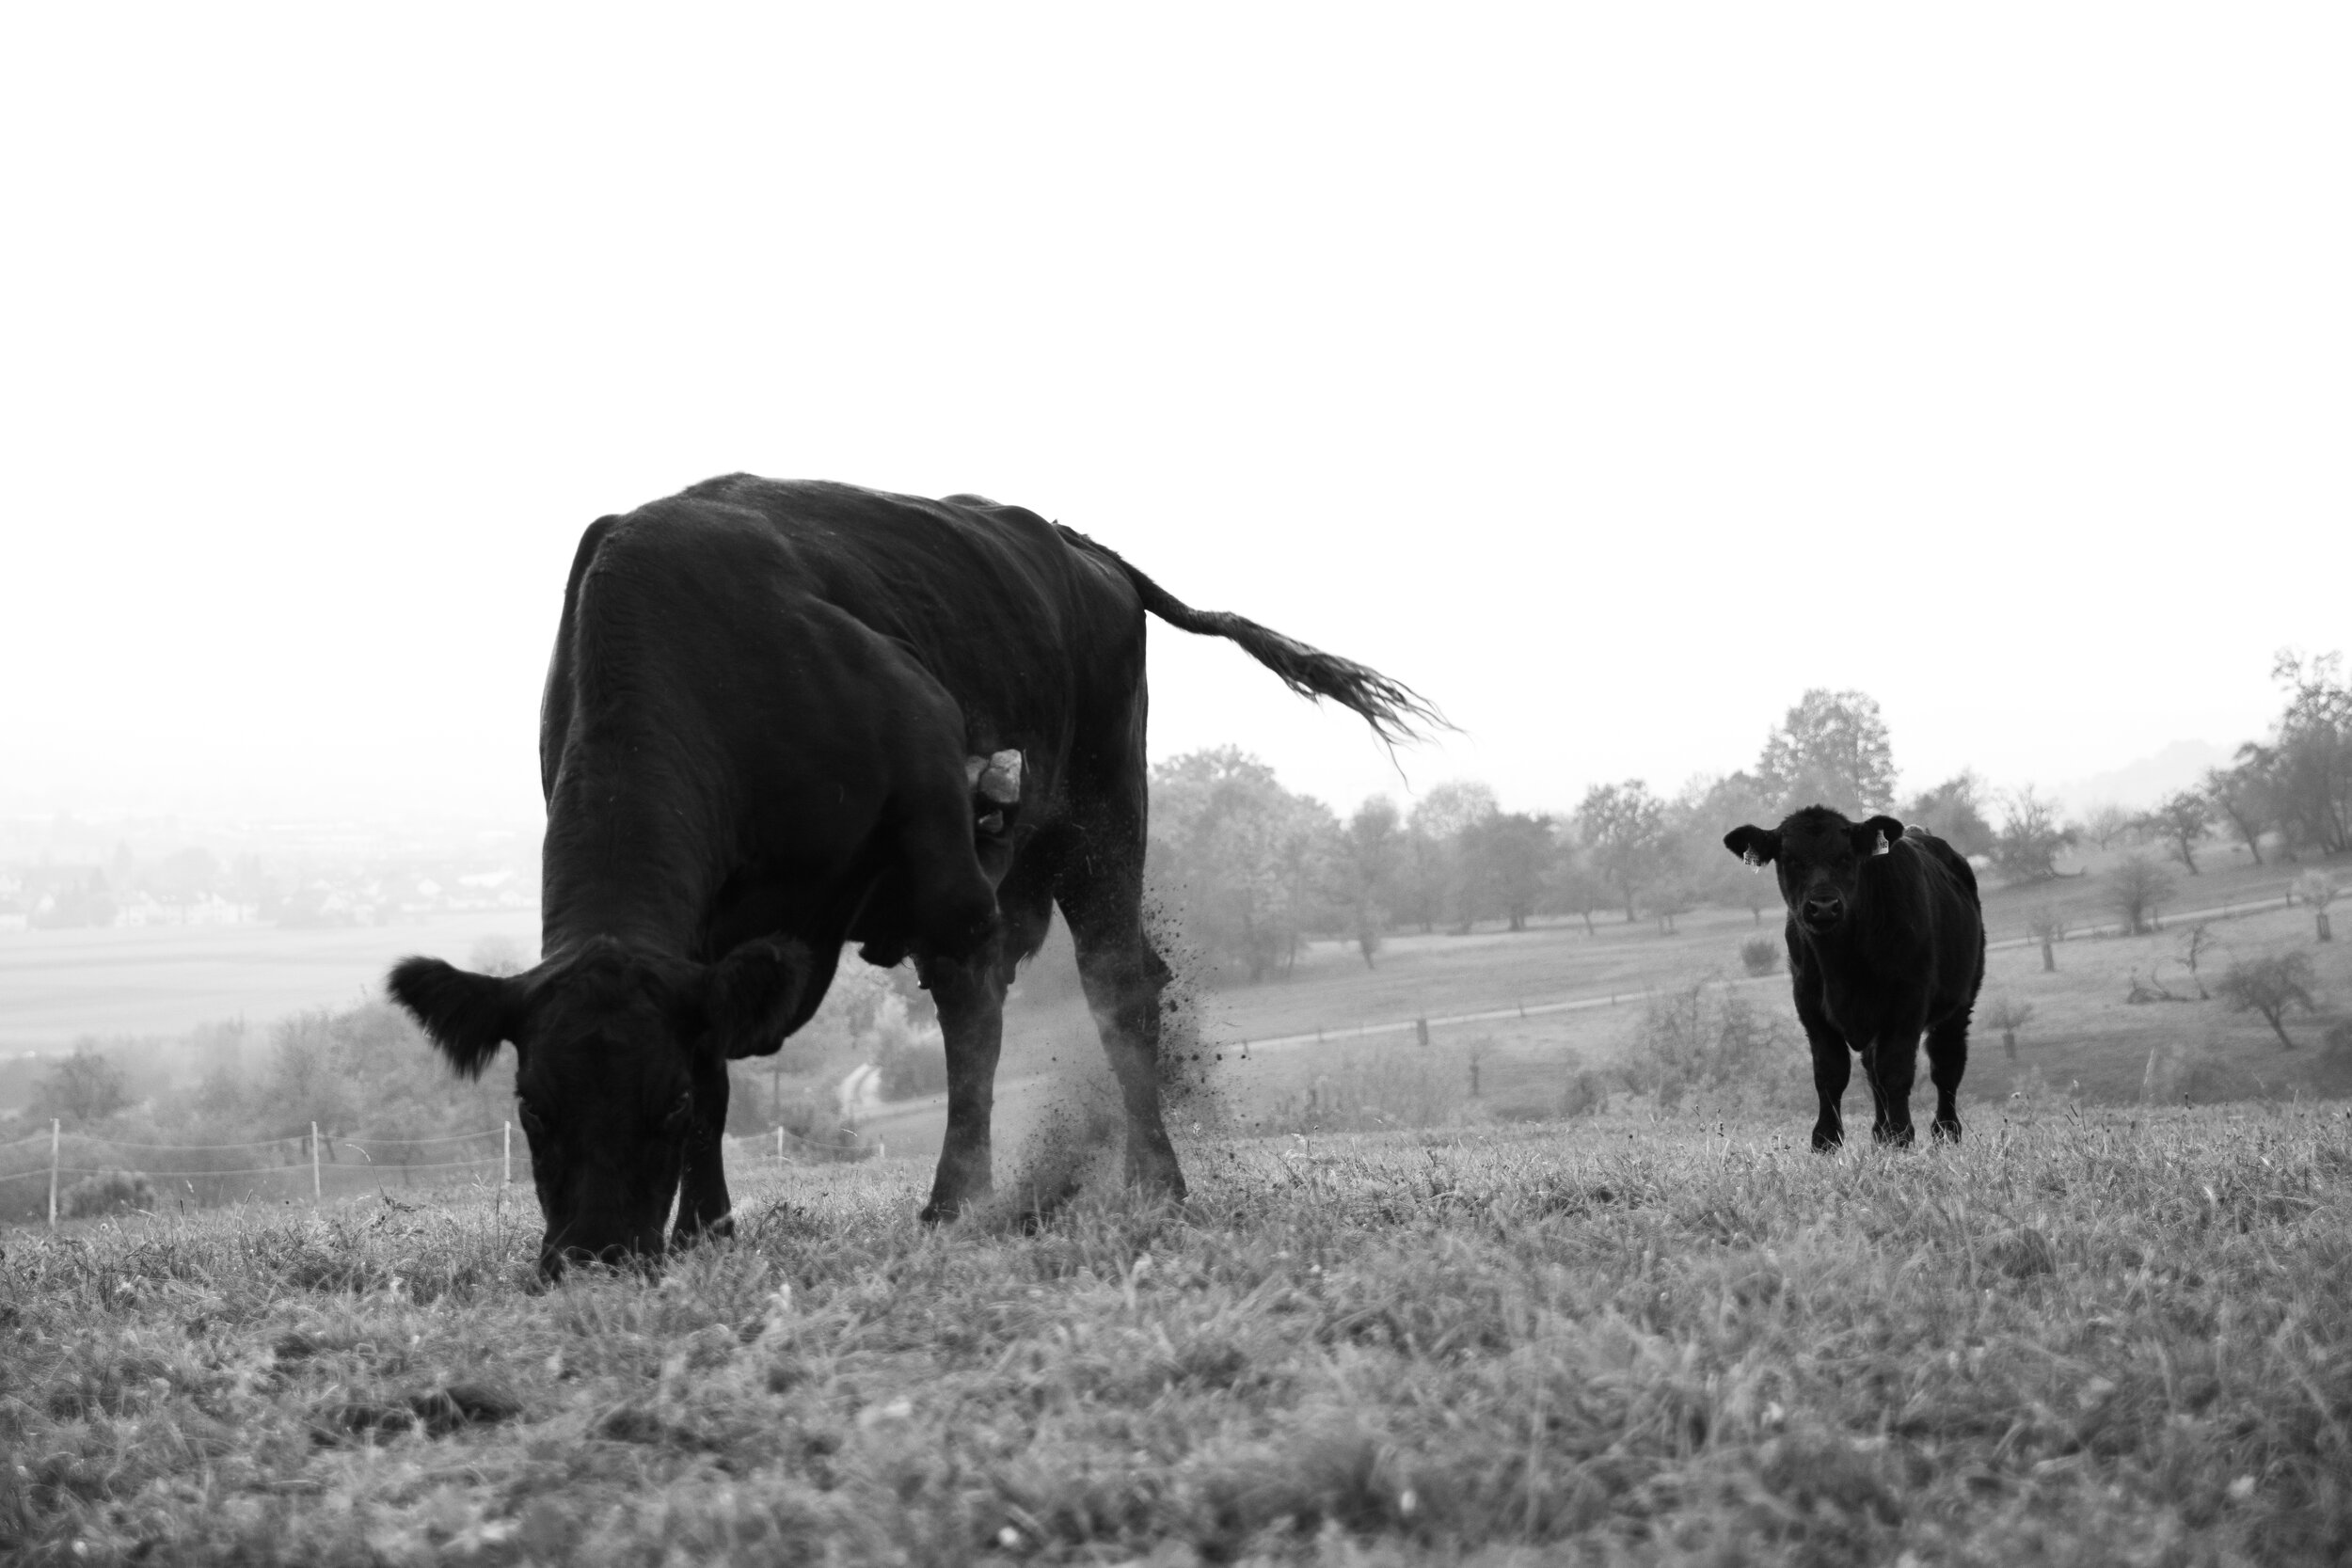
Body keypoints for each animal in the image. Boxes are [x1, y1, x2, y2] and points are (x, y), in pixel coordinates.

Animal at [386, 474, 1430, 1278]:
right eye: (531, 1105)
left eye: (662, 1104)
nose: (596, 1254)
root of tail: (1076, 545)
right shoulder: (715, 942)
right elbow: (724, 1066)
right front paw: (707, 1230)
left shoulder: (940, 858)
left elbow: (966, 1024)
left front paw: (955, 1202)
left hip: (1103, 807)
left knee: (1116, 985)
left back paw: (1153, 1182)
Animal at [1731, 808, 1985, 1151]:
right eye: (1790, 859)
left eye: (1846, 857)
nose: (1823, 906)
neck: (1842, 961)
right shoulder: (1808, 1002)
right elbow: (1830, 1072)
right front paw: (1826, 1139)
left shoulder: (1908, 999)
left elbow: (1895, 1069)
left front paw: (1902, 1135)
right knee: (1871, 1068)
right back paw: (1881, 1132)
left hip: (1961, 1000)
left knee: (1946, 1063)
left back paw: (1946, 1131)